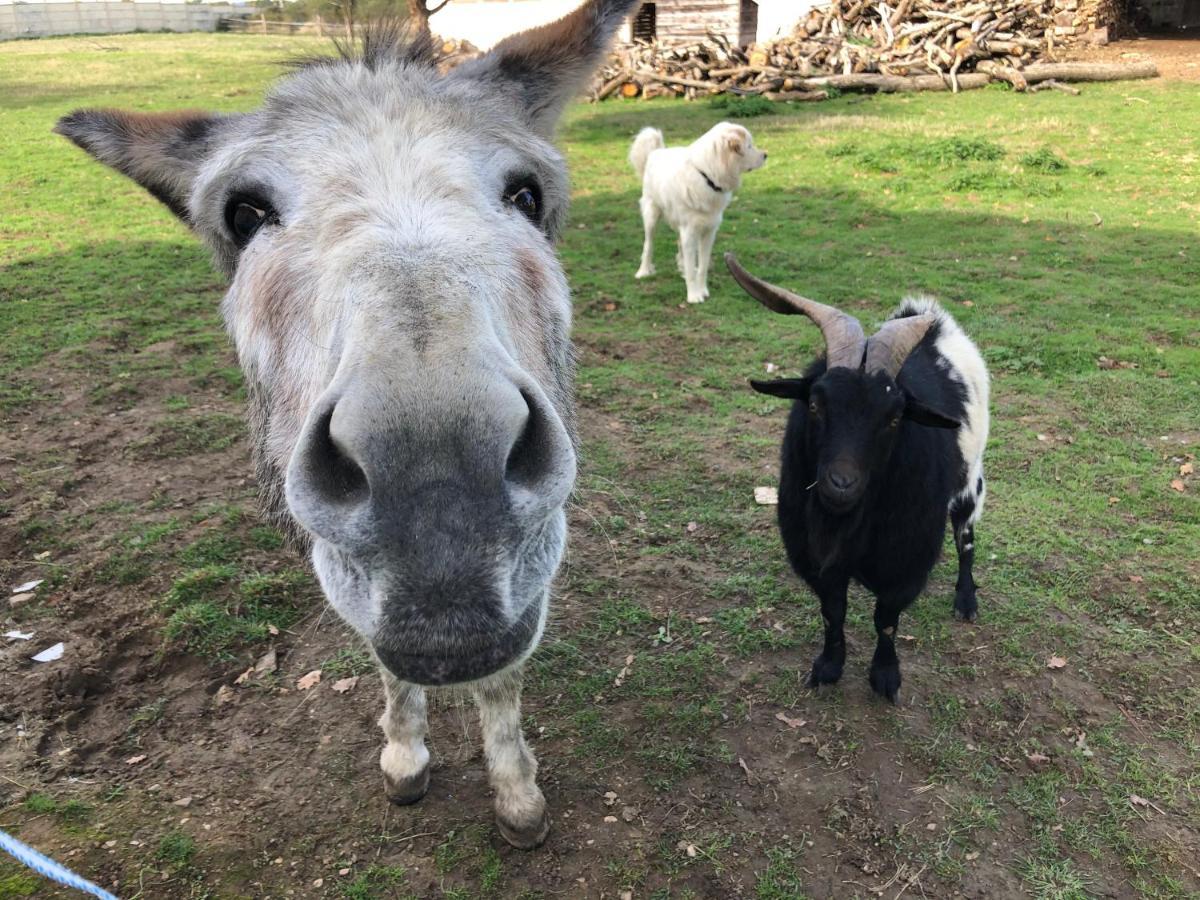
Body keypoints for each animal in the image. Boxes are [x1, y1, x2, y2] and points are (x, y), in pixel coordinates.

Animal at [628, 121, 768, 304]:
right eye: (749, 146)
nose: (766, 155)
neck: (706, 176)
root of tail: (657, 151)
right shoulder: (690, 232)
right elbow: (690, 267)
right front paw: (694, 296)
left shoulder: (709, 232)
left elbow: (702, 267)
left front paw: (702, 290)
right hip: (652, 216)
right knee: (648, 245)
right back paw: (643, 271)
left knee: (679, 246)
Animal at [729, 254, 993, 705]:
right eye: (815, 404)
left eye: (894, 417)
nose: (841, 484)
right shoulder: (816, 561)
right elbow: (832, 613)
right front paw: (828, 666)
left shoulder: (903, 562)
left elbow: (885, 619)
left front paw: (885, 676)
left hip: (970, 484)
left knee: (966, 541)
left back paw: (965, 600)